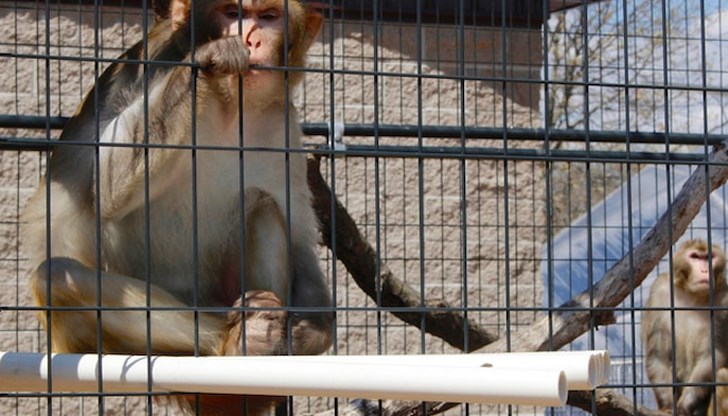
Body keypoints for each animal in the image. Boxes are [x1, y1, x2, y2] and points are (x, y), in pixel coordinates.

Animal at [19, 0, 332, 412]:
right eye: (232, 12)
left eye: (268, 17)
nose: (250, 39)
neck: (231, 105)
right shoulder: (148, 63)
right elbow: (106, 188)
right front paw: (211, 58)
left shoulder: (283, 122)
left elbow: (298, 236)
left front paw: (311, 332)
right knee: (57, 277)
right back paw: (241, 341)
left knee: (262, 205)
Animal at [644, 239, 728, 414]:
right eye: (695, 256)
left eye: (709, 257)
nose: (705, 270)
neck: (692, 295)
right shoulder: (659, 291)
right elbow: (658, 355)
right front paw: (669, 406)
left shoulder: (724, 301)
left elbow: (712, 354)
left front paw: (684, 405)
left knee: (723, 375)